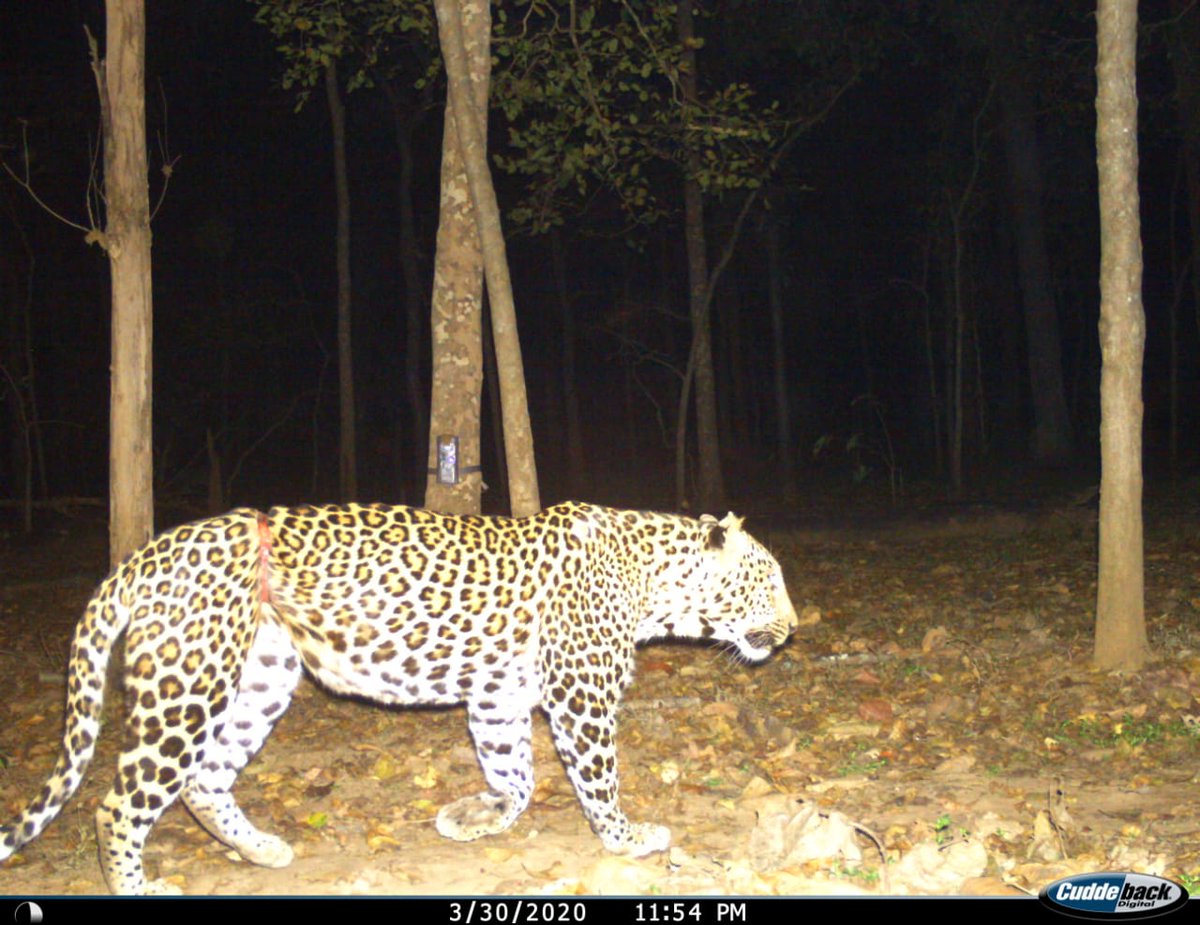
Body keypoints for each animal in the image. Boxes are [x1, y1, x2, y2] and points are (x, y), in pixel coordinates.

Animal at [0, 503, 796, 892]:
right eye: (767, 578)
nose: (794, 629)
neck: (651, 578)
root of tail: (145, 554)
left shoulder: (498, 694)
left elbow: (516, 775)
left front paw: (471, 818)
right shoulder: (580, 690)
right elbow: (597, 778)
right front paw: (627, 838)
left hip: (262, 675)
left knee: (204, 778)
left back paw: (261, 849)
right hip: (187, 687)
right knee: (119, 803)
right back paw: (138, 885)